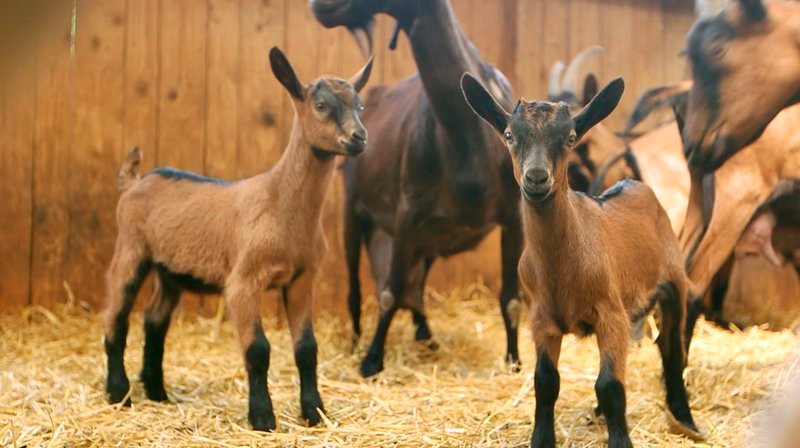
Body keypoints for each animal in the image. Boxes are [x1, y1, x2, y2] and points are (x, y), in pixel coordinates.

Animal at [310, 0, 524, 378]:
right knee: (356, 287)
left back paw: (426, 335)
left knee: (417, 285)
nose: (318, 5)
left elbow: (511, 300)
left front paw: (514, 361)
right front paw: (370, 360)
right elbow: (389, 292)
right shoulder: (407, 213)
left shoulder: (512, 217)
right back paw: (356, 342)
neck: (467, 139)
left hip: (430, 237)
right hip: (356, 210)